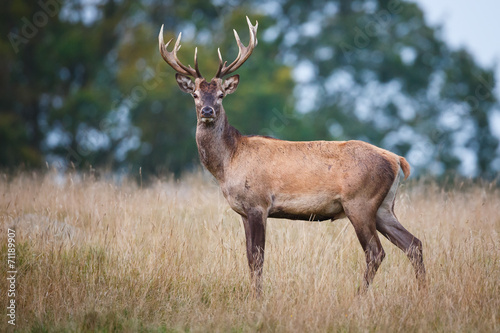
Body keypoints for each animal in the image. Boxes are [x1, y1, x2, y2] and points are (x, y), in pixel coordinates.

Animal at [158, 16, 424, 294]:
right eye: (195, 94)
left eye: (221, 95)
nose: (207, 111)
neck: (228, 163)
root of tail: (397, 160)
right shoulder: (243, 211)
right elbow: (249, 257)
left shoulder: (258, 203)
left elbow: (257, 257)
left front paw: (258, 297)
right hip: (384, 206)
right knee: (414, 244)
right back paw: (422, 292)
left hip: (360, 202)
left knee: (375, 252)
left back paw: (360, 295)